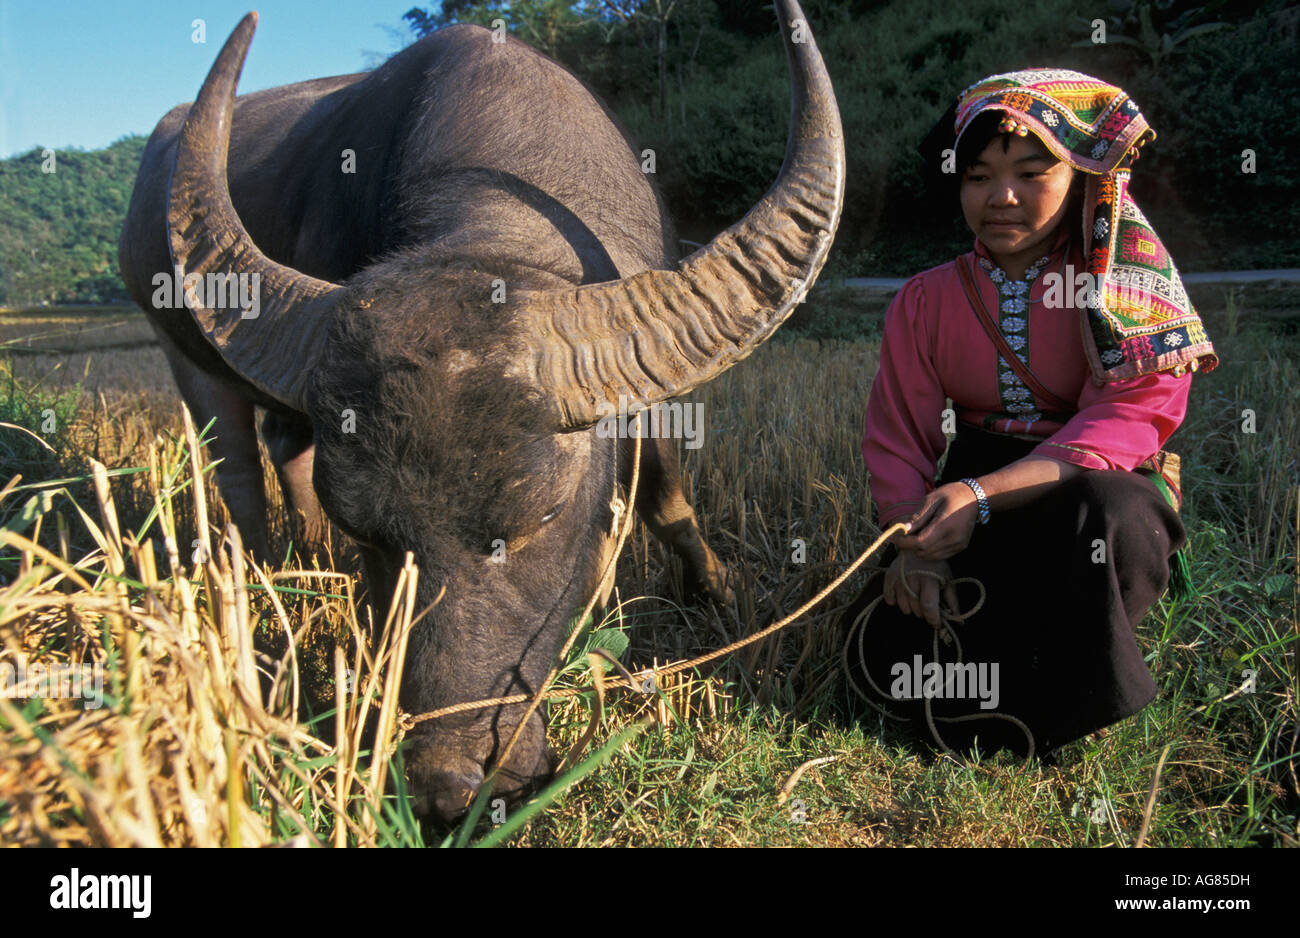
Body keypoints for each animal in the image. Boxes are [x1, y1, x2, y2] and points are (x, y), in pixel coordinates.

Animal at [118, 0, 844, 822]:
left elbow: (667, 500)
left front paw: (716, 590)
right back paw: (266, 576)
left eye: (544, 516)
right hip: (184, 356)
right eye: (368, 534)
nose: (447, 785)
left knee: (284, 445)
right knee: (238, 472)